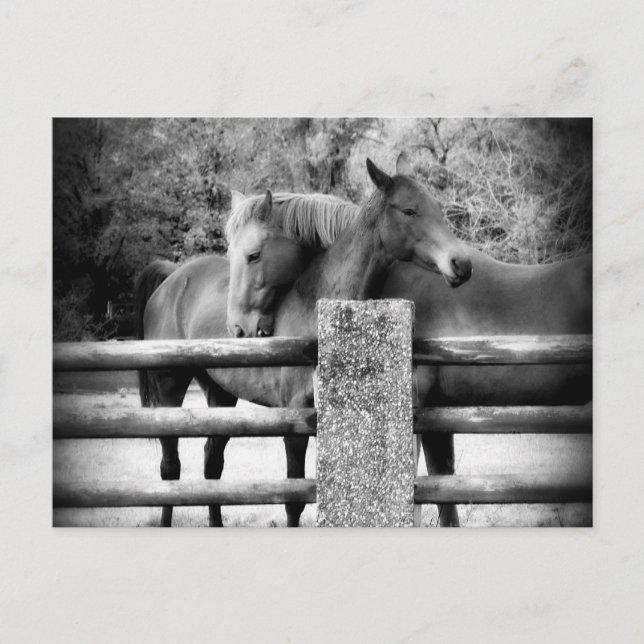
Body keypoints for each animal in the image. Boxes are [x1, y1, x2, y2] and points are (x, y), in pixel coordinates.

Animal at [136, 154, 471, 527]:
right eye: (409, 210)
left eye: (436, 207)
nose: (461, 263)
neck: (319, 309)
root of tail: (172, 278)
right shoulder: (294, 419)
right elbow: (294, 499)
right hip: (170, 388)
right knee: (171, 469)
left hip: (220, 395)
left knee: (212, 466)